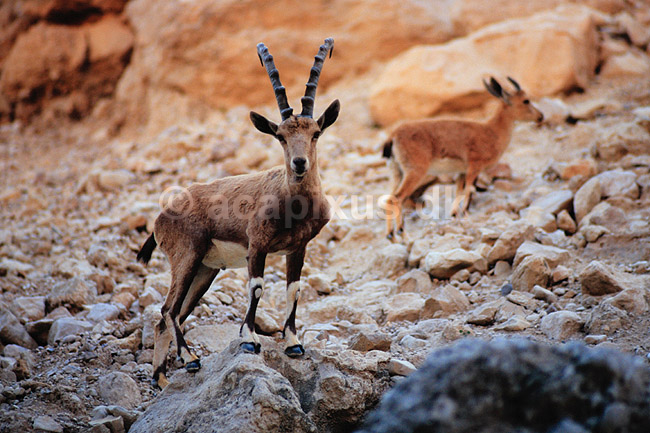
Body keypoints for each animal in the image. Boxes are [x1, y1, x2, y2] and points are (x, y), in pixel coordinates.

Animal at [137, 38, 339, 388]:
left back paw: (162, 378)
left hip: (205, 270)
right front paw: (249, 339)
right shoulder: (257, 244)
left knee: (169, 317)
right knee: (168, 310)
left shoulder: (298, 247)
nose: (300, 163)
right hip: (186, 255)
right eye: (281, 136)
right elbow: (256, 286)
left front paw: (293, 343)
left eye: (315, 133)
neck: (293, 204)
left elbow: (294, 289)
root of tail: (160, 218)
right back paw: (190, 359)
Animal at [381, 77, 543, 241]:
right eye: (526, 100)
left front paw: (455, 215)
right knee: (396, 198)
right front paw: (465, 214)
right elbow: (469, 190)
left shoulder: (461, 172)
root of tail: (392, 138)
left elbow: (459, 191)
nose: (540, 116)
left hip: (397, 172)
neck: (493, 132)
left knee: (389, 198)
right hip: (415, 171)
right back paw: (402, 232)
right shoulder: (475, 165)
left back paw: (390, 234)